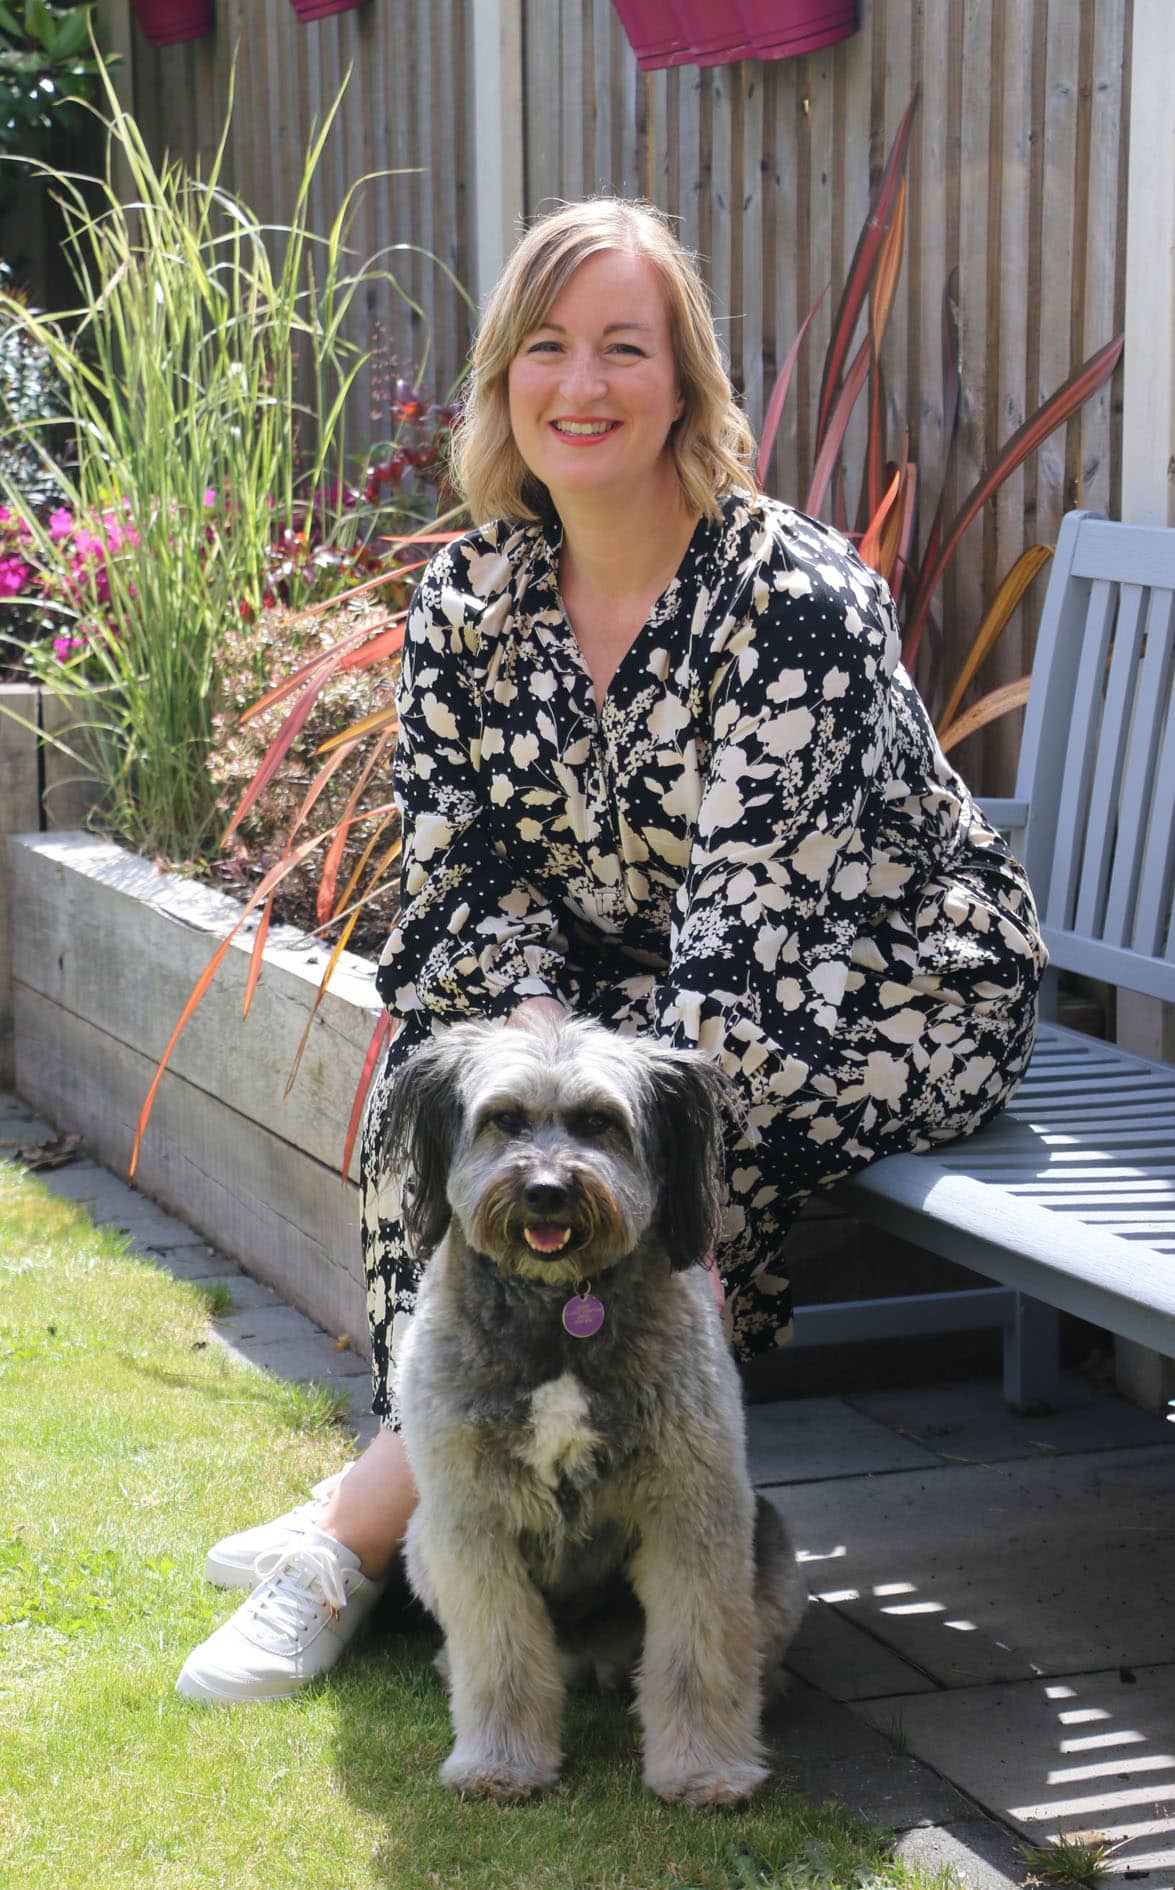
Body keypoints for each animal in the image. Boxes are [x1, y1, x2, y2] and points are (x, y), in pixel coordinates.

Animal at [384, 1014, 807, 1806]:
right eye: (505, 1119)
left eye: (600, 1123)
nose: (547, 1191)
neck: (560, 1308)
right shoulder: (472, 1521)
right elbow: (499, 1652)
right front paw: (499, 1763)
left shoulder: (691, 1514)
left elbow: (697, 1654)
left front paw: (704, 1768)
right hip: (422, 1541)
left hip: (766, 1543)